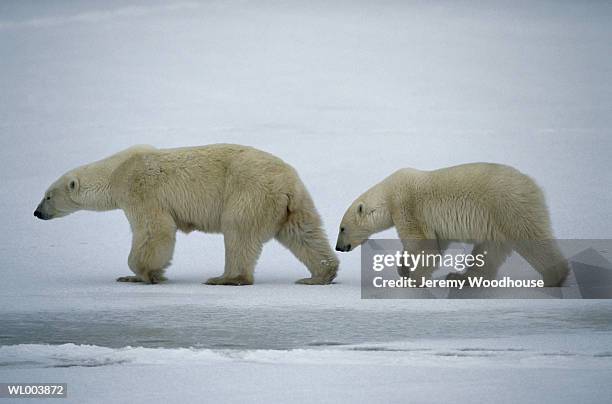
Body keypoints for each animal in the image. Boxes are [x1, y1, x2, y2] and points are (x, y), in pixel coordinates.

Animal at [33, 144, 340, 286]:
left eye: (48, 195)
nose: (36, 212)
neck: (117, 170)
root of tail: (286, 184)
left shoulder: (141, 190)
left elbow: (154, 230)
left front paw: (139, 275)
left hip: (249, 193)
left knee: (238, 233)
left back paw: (224, 278)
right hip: (293, 205)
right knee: (305, 234)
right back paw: (320, 274)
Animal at [334, 163, 568, 286]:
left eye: (342, 228)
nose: (338, 247)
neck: (389, 196)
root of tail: (534, 187)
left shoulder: (408, 207)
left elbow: (422, 245)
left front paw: (413, 279)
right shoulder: (432, 223)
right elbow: (434, 244)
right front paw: (404, 268)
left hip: (508, 207)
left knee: (531, 239)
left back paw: (554, 277)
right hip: (496, 222)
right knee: (488, 252)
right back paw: (461, 278)